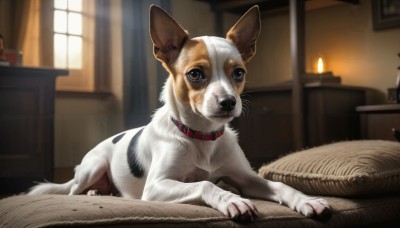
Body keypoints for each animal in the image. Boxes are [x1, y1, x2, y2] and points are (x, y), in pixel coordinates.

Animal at [28, 4, 332, 223]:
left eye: (239, 73)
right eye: (195, 74)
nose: (228, 102)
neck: (201, 136)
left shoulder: (246, 179)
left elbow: (280, 186)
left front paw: (307, 199)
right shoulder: (157, 186)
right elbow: (206, 184)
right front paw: (232, 200)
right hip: (94, 167)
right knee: (72, 191)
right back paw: (91, 191)